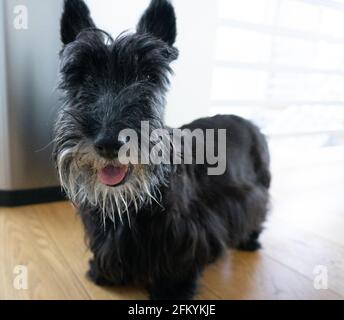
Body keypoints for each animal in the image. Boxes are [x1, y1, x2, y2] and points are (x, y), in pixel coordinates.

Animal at [53, 0, 270, 300]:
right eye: (82, 77)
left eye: (148, 76)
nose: (109, 142)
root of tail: (249, 122)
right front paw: (102, 272)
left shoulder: (183, 232)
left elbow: (177, 263)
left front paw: (172, 290)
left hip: (259, 184)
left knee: (258, 209)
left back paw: (250, 241)